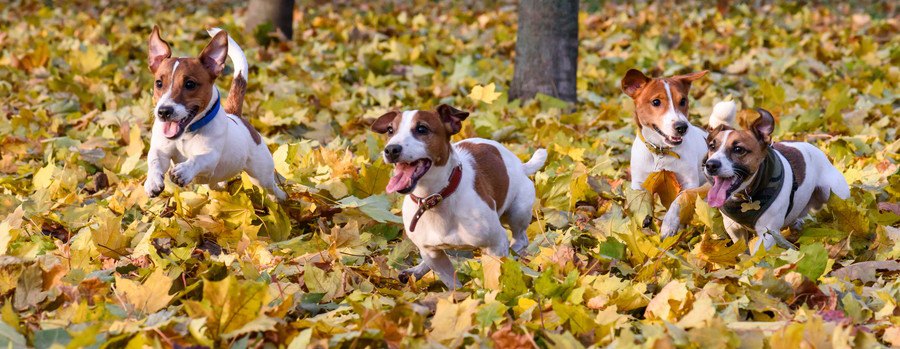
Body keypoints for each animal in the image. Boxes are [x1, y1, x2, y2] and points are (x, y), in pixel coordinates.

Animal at [370, 104, 544, 286]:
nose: (391, 149)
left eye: (422, 129)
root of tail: (520, 165)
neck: (434, 200)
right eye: (390, 130)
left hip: (518, 211)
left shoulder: (496, 244)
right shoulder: (432, 254)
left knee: (520, 241)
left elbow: (495, 277)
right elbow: (453, 286)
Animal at [660, 107, 852, 251]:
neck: (745, 195)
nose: (710, 164)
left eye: (738, 149)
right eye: (712, 146)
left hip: (833, 192)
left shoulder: (767, 234)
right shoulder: (734, 228)